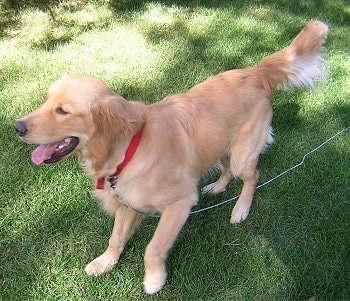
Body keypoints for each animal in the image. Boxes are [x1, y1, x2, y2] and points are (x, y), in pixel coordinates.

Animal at [14, 20, 328, 292]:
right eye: (45, 100)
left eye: (62, 111)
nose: (17, 127)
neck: (130, 147)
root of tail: (255, 72)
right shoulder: (128, 201)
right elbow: (116, 237)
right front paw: (105, 262)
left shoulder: (180, 203)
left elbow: (153, 248)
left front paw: (154, 279)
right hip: (220, 146)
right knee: (226, 170)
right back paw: (217, 187)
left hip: (243, 153)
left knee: (253, 176)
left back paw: (240, 209)